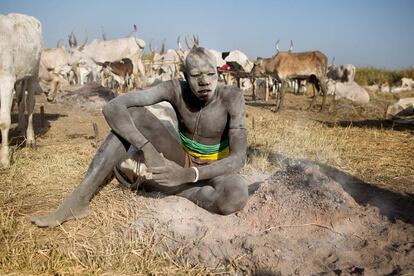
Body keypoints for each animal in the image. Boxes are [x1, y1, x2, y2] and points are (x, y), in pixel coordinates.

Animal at [0, 13, 42, 166]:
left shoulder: (6, 79)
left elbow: (4, 121)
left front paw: (5, 159)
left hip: (33, 74)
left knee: (29, 104)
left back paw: (30, 139)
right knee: (20, 102)